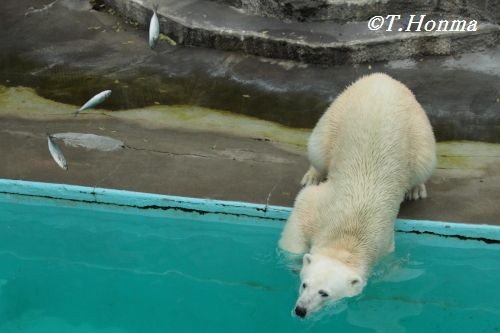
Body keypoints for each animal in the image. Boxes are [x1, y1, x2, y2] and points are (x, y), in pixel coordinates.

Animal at [280, 74, 436, 318]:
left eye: (325, 293)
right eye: (305, 284)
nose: (301, 310)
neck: (350, 229)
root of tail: (382, 77)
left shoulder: (383, 241)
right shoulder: (320, 205)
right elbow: (301, 210)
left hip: (418, 131)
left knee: (423, 163)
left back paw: (415, 190)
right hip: (337, 113)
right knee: (318, 148)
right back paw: (313, 174)